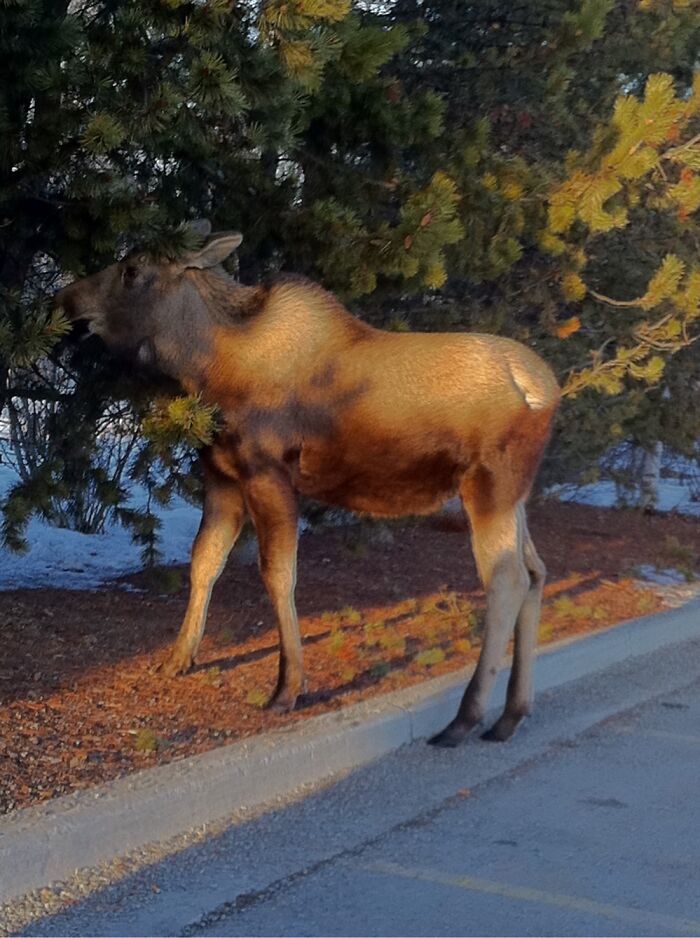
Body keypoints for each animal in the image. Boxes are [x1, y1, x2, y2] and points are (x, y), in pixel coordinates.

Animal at [55, 224, 560, 747]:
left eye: (132, 270)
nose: (64, 300)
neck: (206, 367)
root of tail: (545, 390)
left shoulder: (268, 473)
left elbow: (278, 574)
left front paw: (287, 688)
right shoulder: (221, 477)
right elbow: (204, 563)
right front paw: (179, 658)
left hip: (488, 486)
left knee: (507, 579)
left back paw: (465, 718)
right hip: (514, 495)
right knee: (537, 571)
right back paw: (510, 714)